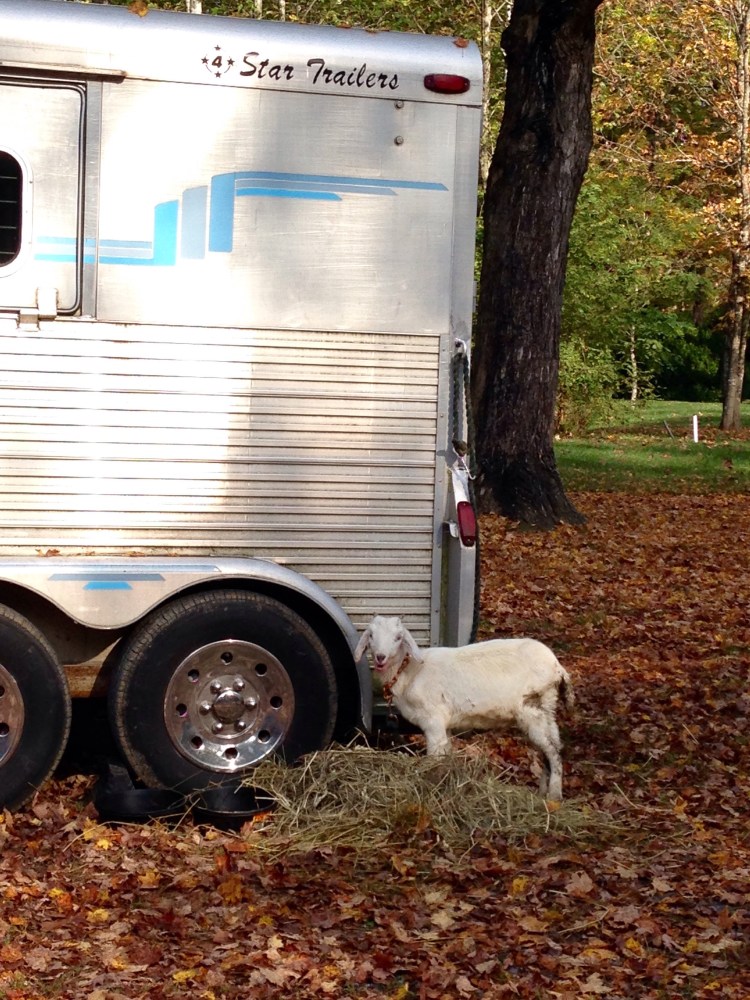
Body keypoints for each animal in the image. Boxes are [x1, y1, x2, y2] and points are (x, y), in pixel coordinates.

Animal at [355, 615, 575, 801]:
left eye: (398, 637)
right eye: (371, 635)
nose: (380, 657)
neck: (410, 672)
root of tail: (557, 667)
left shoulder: (433, 720)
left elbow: (435, 757)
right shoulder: (444, 724)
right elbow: (446, 754)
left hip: (533, 708)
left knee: (552, 752)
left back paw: (554, 797)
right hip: (547, 708)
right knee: (552, 748)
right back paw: (543, 792)